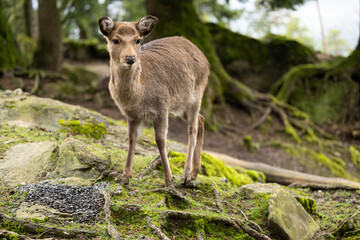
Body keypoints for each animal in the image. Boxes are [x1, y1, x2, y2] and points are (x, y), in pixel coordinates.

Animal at [98, 15, 210, 188]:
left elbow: (160, 140)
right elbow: (132, 139)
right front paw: (125, 177)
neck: (138, 95)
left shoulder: (161, 107)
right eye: (115, 40)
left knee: (192, 129)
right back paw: (194, 173)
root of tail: (205, 58)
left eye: (138, 40)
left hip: (196, 95)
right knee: (201, 119)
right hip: (181, 105)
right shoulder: (132, 115)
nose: (130, 58)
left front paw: (169, 180)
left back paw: (186, 175)